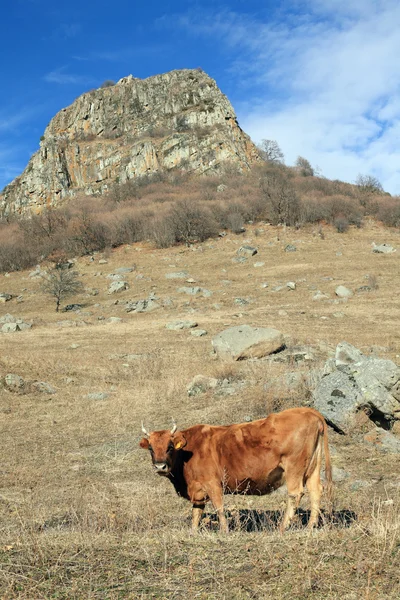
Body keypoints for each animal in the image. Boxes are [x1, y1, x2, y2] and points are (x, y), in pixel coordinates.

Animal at [139, 406, 332, 532]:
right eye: (151, 448)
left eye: (170, 447)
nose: (160, 466)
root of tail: (307, 411)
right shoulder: (198, 490)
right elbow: (197, 512)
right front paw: (193, 532)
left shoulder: (213, 484)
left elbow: (219, 508)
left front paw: (225, 531)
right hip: (312, 468)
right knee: (315, 491)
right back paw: (310, 526)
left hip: (294, 468)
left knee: (295, 494)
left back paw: (283, 527)